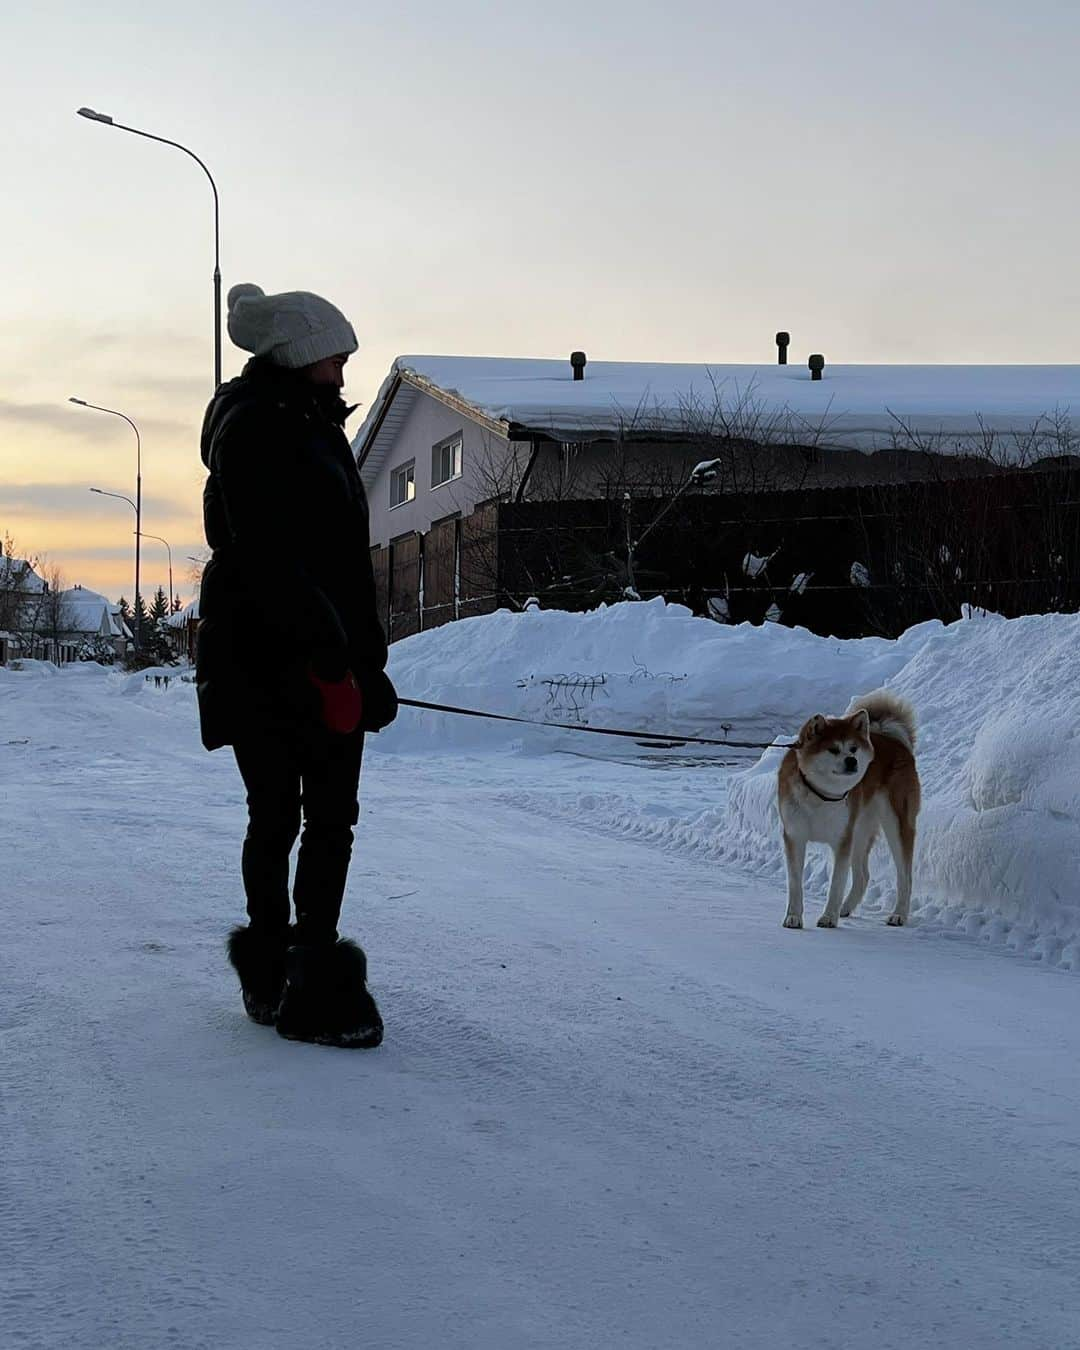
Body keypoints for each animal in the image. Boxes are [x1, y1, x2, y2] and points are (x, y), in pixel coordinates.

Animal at [777, 696, 918, 928]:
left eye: (853, 749)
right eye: (833, 749)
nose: (852, 760)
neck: (821, 795)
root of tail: (894, 741)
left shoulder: (842, 840)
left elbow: (836, 883)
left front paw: (828, 917)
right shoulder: (794, 836)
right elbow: (795, 883)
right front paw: (793, 917)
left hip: (896, 825)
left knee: (905, 876)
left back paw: (899, 914)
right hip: (860, 830)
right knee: (863, 875)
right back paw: (846, 907)